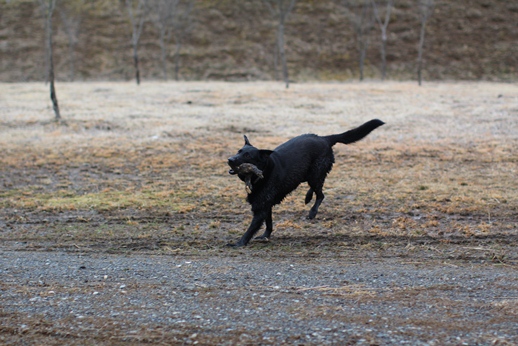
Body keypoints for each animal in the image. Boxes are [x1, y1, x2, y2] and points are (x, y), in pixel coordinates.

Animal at [229, 119, 386, 246]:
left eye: (248, 155)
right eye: (239, 151)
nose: (230, 159)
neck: (264, 171)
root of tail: (324, 139)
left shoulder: (261, 207)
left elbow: (251, 229)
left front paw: (239, 243)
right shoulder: (266, 205)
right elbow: (269, 223)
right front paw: (265, 236)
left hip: (315, 174)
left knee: (321, 195)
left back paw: (312, 212)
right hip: (307, 174)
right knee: (316, 189)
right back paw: (307, 197)